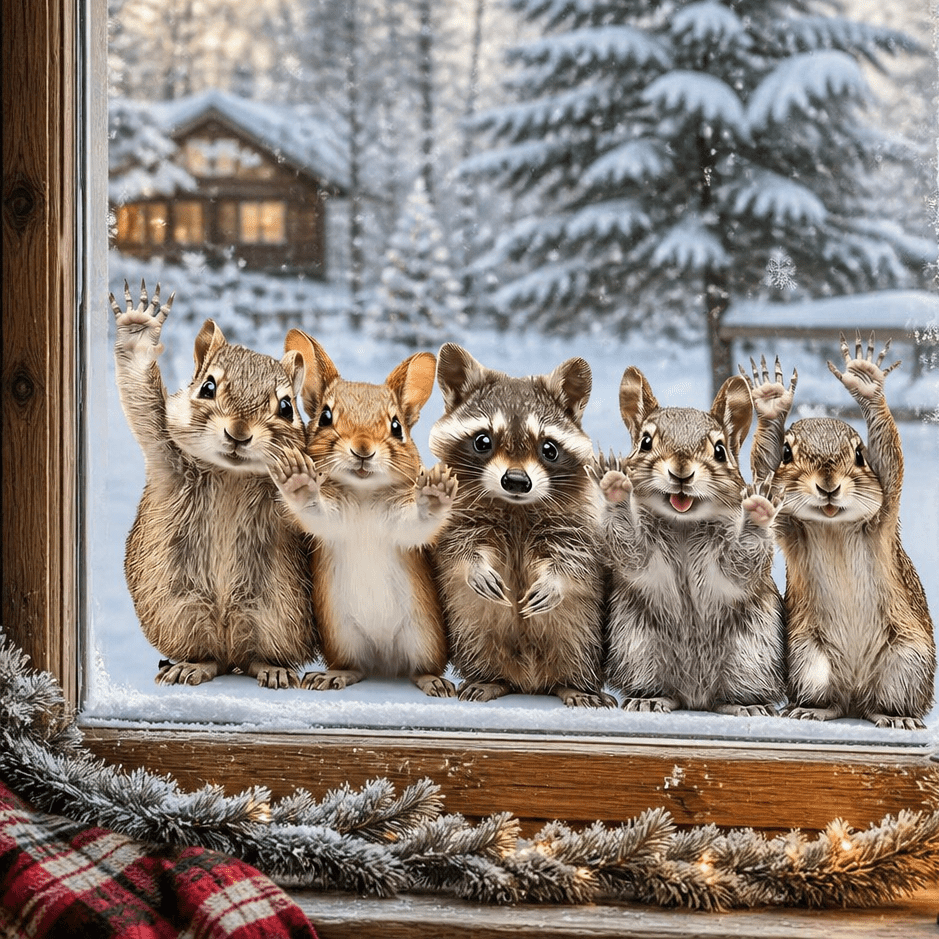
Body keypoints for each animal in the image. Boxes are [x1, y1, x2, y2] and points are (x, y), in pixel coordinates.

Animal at [112, 280, 317, 688]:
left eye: (287, 407)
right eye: (207, 387)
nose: (238, 433)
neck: (231, 475)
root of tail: (227, 643)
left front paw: (299, 478)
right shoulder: (166, 454)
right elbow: (143, 405)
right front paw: (139, 329)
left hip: (276, 617)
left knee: (254, 656)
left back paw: (271, 668)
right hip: (180, 611)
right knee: (211, 656)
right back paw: (193, 665)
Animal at [267, 329, 457, 697]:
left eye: (397, 427)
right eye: (325, 417)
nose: (363, 449)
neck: (364, 495)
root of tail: (385, 661)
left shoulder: (400, 526)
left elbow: (418, 523)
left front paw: (435, 491)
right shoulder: (331, 521)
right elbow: (313, 509)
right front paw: (298, 479)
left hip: (424, 638)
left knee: (420, 668)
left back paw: (434, 681)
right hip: (342, 637)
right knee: (356, 668)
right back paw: (332, 676)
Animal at [428, 343, 613, 708]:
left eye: (549, 448)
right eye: (483, 441)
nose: (516, 481)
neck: (515, 508)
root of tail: (530, 682)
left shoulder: (576, 523)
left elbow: (575, 559)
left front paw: (555, 580)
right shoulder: (455, 516)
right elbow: (458, 548)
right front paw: (474, 565)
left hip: (583, 632)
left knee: (577, 647)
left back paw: (575, 686)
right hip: (469, 629)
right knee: (478, 639)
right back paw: (490, 680)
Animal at [594, 368, 786, 715]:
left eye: (720, 450)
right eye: (645, 442)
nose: (681, 472)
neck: (683, 525)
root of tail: (696, 696)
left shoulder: (731, 561)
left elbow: (742, 565)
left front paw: (760, 510)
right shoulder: (641, 552)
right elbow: (630, 550)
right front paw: (614, 486)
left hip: (752, 653)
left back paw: (746, 705)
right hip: (637, 646)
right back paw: (651, 698)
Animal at [743, 335, 935, 729]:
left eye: (860, 455)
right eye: (786, 453)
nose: (829, 486)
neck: (833, 526)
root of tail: (856, 692)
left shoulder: (884, 514)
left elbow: (891, 461)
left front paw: (866, 382)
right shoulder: (789, 526)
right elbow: (762, 474)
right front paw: (770, 403)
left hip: (907, 660)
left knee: (886, 700)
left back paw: (894, 716)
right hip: (806, 655)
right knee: (829, 697)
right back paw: (815, 708)